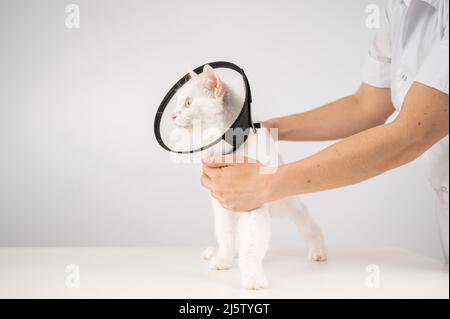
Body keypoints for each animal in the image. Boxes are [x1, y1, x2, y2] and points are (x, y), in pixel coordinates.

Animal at [172, 65, 326, 290]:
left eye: (188, 103)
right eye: (178, 103)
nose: (172, 116)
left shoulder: (253, 206)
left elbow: (251, 247)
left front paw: (253, 278)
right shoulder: (220, 206)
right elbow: (225, 237)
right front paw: (223, 260)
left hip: (286, 205)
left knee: (308, 224)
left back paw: (318, 251)